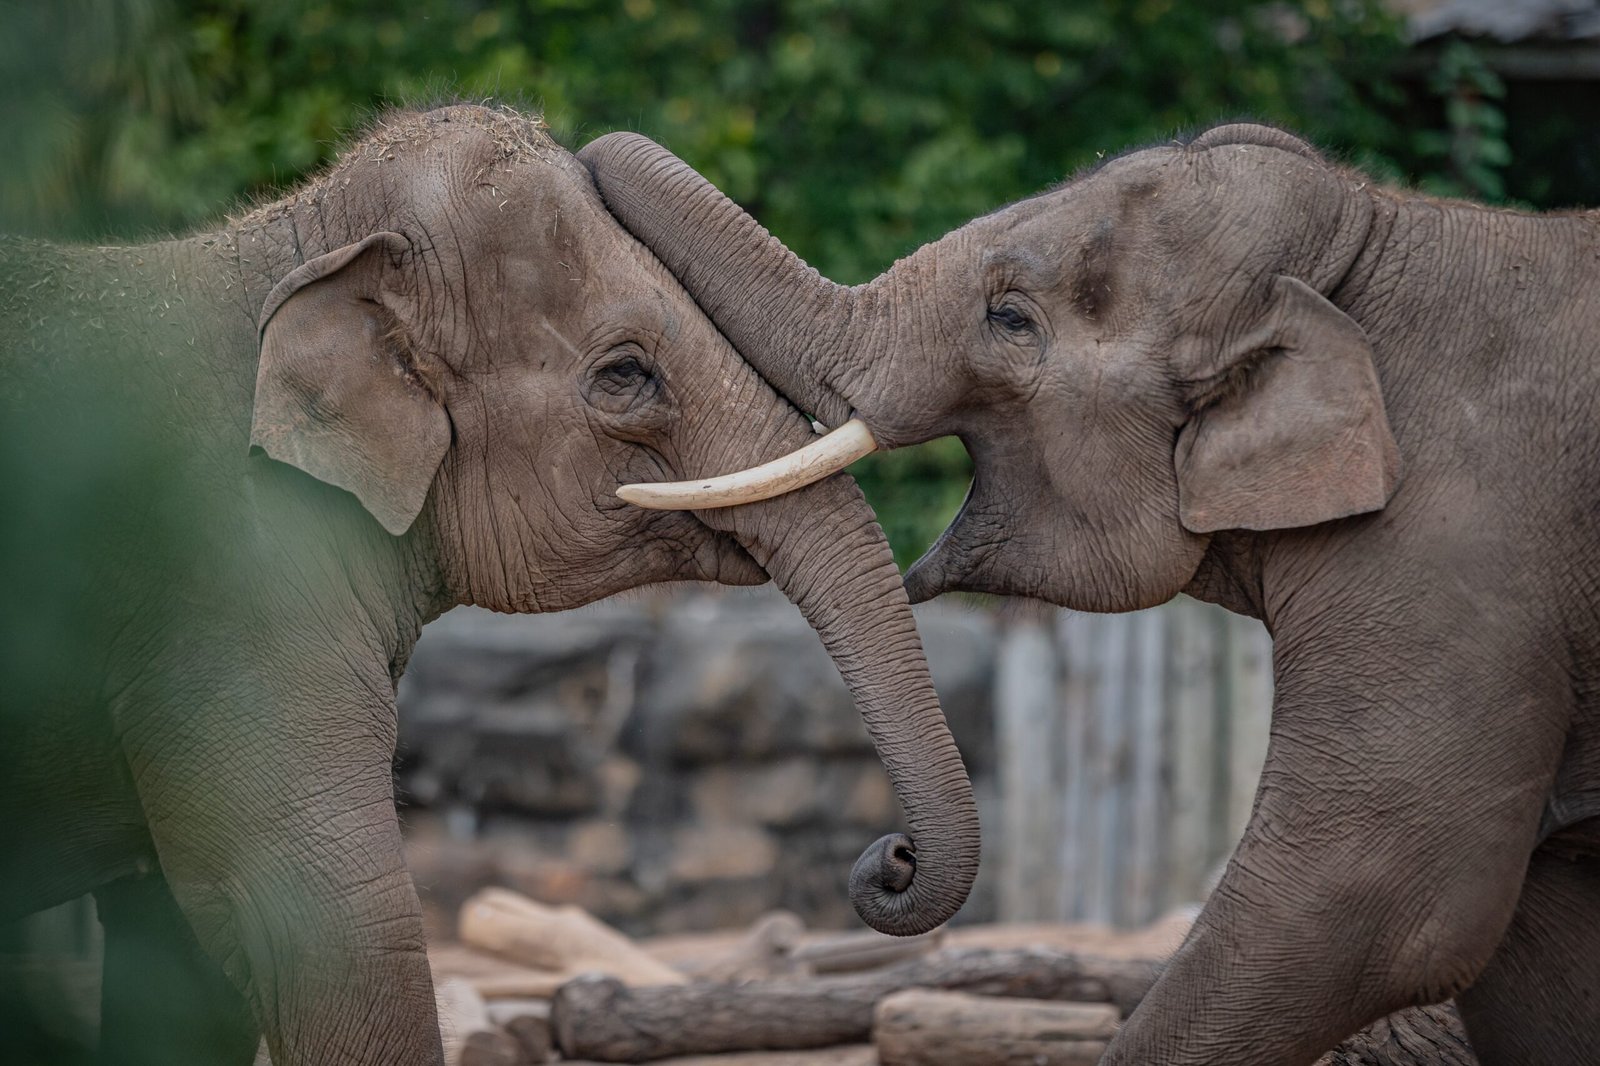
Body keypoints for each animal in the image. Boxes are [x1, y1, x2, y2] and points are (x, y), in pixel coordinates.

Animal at [579, 122, 1600, 1064]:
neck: (1376, 233)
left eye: (1010, 319)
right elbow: (1533, 939)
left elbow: (1376, 896)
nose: (892, 859)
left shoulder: (1459, 533)